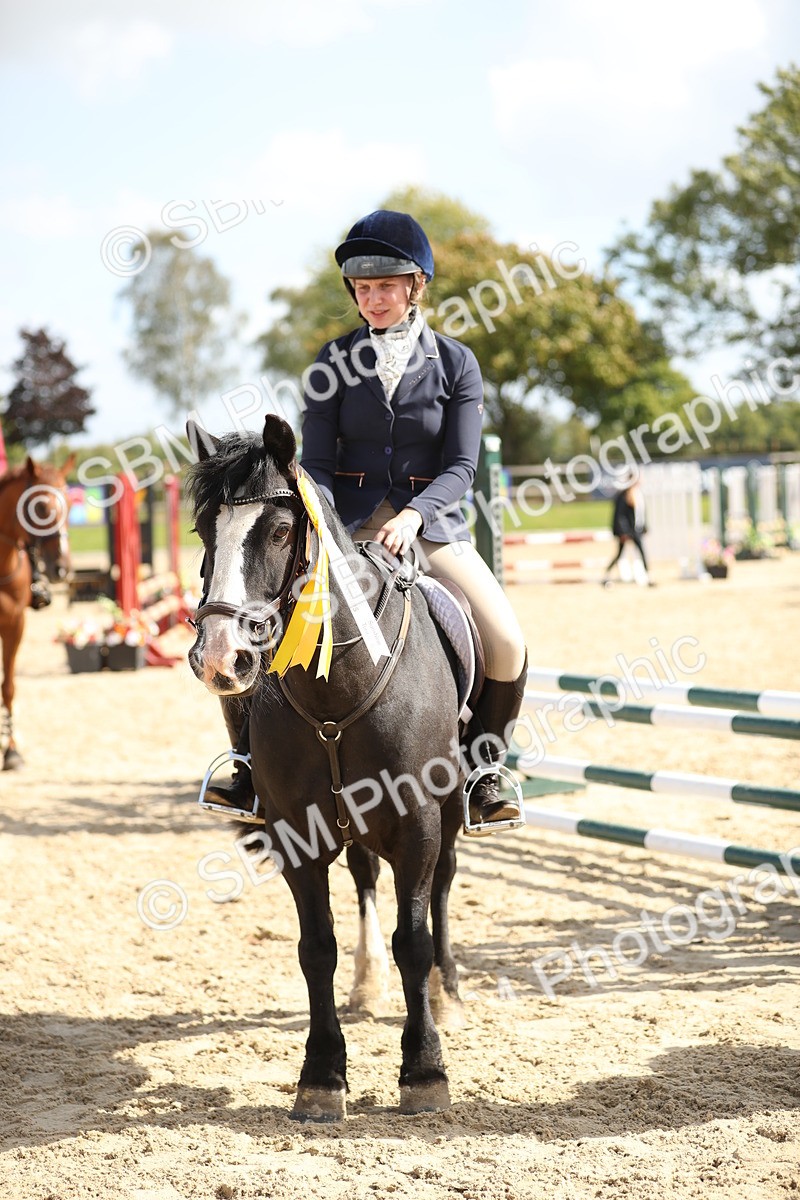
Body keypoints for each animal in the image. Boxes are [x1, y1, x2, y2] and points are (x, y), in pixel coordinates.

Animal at [186, 415, 467, 1122]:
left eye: (280, 532)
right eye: (204, 531)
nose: (219, 657)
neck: (338, 690)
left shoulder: (418, 823)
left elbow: (413, 940)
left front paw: (424, 1071)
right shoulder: (295, 832)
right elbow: (317, 950)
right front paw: (320, 1076)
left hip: (448, 815)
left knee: (442, 888)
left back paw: (448, 993)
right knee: (366, 880)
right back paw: (366, 988)